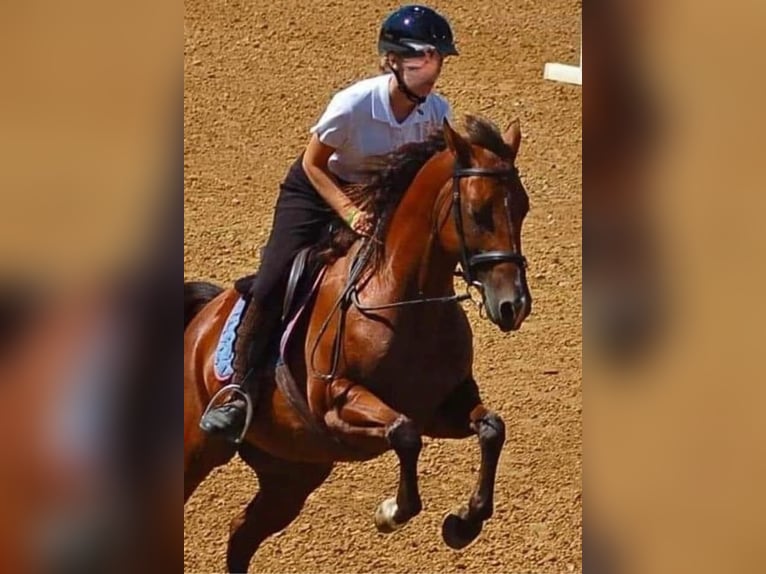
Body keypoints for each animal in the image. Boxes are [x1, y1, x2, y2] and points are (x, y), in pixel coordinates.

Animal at [184, 114, 532, 573]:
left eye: (523, 207)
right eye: (478, 213)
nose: (514, 306)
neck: (403, 300)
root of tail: (200, 322)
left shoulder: (441, 408)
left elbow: (492, 428)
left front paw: (463, 524)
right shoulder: (336, 403)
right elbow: (404, 434)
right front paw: (391, 512)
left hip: (291, 474)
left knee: (241, 535)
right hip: (196, 448)